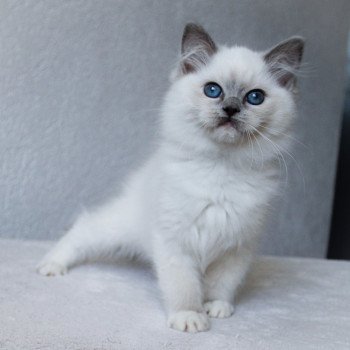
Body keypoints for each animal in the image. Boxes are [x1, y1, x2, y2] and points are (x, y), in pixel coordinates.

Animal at [37, 23, 304, 332]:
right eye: (213, 90)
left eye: (255, 97)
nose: (230, 109)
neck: (222, 168)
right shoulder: (176, 242)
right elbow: (184, 287)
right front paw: (189, 318)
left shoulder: (237, 247)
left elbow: (222, 284)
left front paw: (216, 307)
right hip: (116, 227)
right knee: (82, 229)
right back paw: (51, 266)